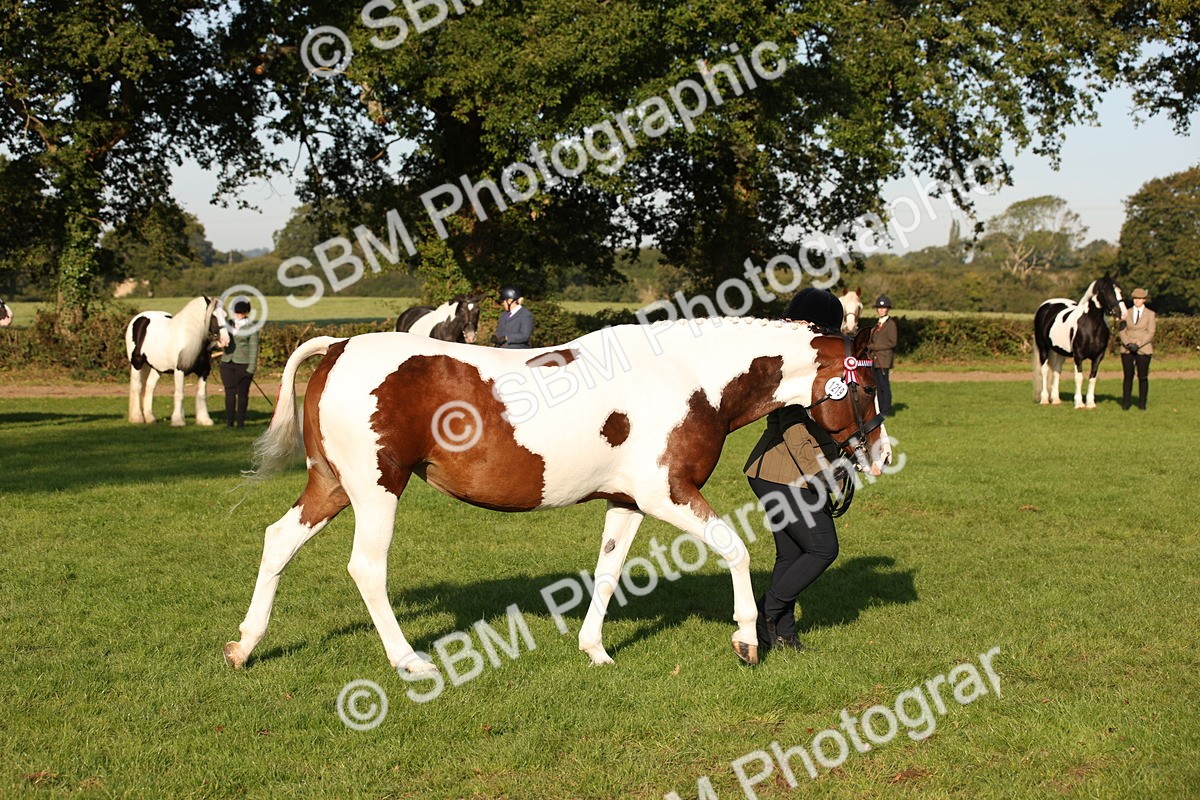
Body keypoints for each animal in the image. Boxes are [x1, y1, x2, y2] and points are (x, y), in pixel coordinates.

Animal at [125, 296, 230, 426]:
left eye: (225, 316)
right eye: (213, 316)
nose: (225, 340)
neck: (189, 339)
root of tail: (139, 318)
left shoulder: (204, 372)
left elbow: (201, 395)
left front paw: (204, 420)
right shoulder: (180, 371)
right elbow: (180, 394)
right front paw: (178, 420)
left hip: (157, 367)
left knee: (149, 386)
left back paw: (150, 417)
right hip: (137, 363)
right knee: (138, 387)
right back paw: (137, 417)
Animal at [222, 318, 891, 674]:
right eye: (865, 389)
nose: (883, 455)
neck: (689, 378)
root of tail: (337, 346)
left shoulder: (628, 502)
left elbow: (608, 571)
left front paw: (595, 650)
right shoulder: (669, 495)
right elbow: (736, 549)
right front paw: (748, 640)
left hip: (331, 485)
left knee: (277, 542)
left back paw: (244, 647)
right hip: (376, 489)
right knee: (366, 569)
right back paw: (409, 661)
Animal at [1033, 275, 1127, 408]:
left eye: (1120, 290)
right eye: (1107, 291)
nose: (1123, 313)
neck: (1090, 324)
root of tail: (1046, 305)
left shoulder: (1098, 357)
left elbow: (1092, 378)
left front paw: (1090, 403)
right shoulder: (1078, 356)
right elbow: (1079, 378)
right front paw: (1079, 403)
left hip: (1061, 351)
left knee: (1056, 371)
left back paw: (1055, 399)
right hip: (1043, 348)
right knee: (1044, 371)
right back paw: (1045, 399)